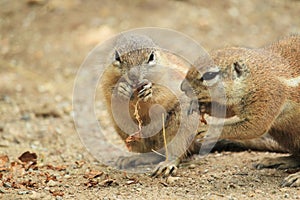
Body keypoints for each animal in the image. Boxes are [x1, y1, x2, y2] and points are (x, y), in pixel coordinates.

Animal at [180, 35, 300, 187]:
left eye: (209, 75)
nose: (182, 87)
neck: (253, 78)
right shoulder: (235, 103)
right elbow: (227, 111)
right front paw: (200, 106)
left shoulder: (268, 96)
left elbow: (255, 126)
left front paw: (208, 130)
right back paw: (277, 160)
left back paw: (296, 177)